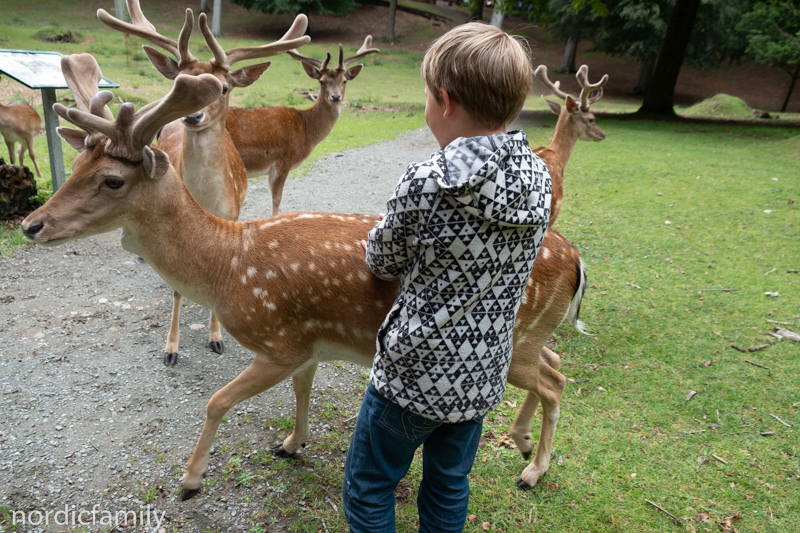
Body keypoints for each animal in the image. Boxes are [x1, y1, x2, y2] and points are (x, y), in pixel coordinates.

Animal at [98, 0, 310, 366]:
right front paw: (171, 348)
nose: (192, 115)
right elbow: (176, 289)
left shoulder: (230, 218)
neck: (206, 201)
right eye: (178, 84)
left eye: (223, 87)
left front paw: (216, 337)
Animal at [225, 35, 382, 216]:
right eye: (321, 81)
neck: (306, 128)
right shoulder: (282, 162)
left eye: (344, 81)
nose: (335, 97)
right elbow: (277, 200)